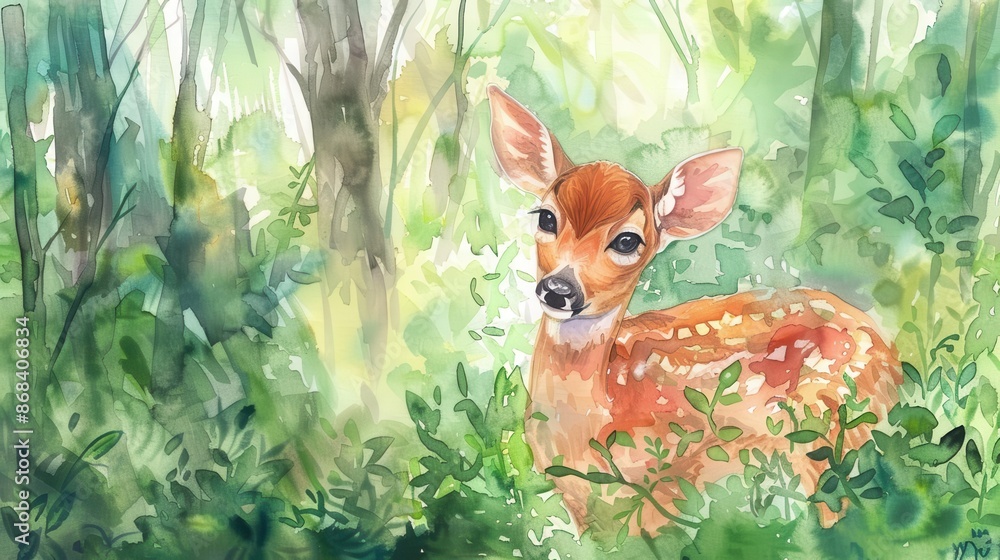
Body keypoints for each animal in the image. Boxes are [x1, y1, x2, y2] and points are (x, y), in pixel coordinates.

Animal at [485, 85, 901, 533]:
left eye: (627, 241)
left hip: (824, 436)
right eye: (546, 217)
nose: (559, 288)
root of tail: (892, 355)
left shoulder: (667, 485)